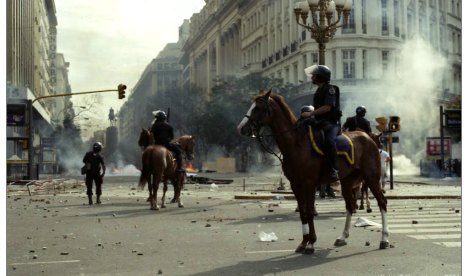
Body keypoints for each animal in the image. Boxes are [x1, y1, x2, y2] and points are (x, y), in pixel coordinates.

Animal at [236, 90, 390, 252]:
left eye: (257, 108)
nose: (241, 128)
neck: (296, 143)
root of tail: (368, 138)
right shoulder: (296, 185)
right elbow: (303, 212)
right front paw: (304, 242)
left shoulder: (309, 183)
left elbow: (309, 211)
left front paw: (311, 243)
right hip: (347, 180)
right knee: (349, 206)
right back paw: (342, 237)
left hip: (371, 178)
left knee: (382, 202)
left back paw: (384, 239)